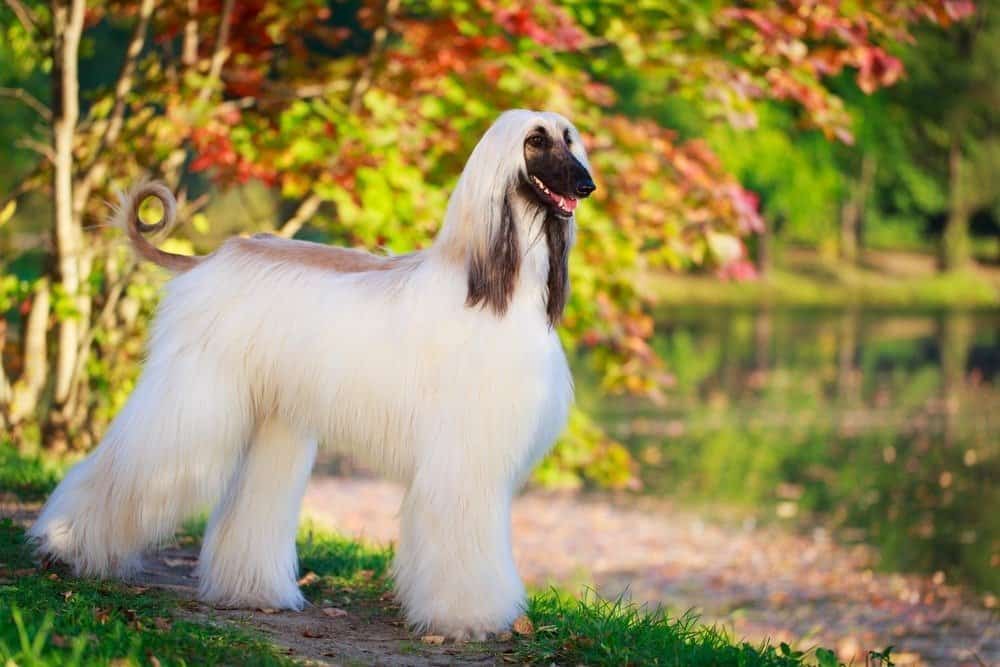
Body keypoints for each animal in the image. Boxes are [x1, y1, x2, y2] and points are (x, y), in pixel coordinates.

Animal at [29, 109, 592, 640]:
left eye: (569, 139)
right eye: (535, 140)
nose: (587, 185)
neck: (501, 285)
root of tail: (209, 259)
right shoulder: (464, 453)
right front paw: (470, 619)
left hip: (273, 416)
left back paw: (251, 591)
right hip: (195, 395)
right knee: (132, 465)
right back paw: (64, 545)